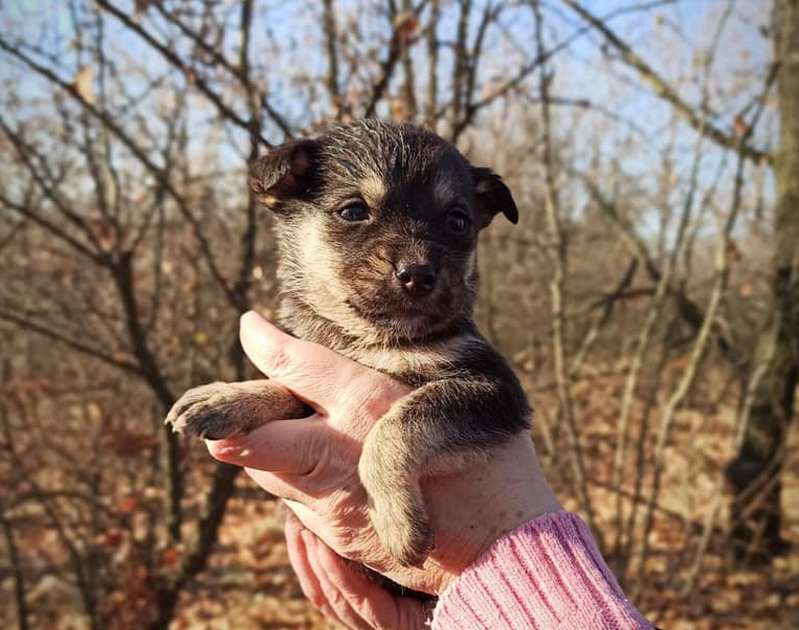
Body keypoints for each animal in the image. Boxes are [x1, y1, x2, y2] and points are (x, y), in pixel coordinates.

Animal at [166, 121, 532, 572]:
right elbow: (282, 387)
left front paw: (396, 521)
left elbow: (396, 425)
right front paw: (228, 398)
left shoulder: (492, 387)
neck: (370, 338)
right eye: (354, 211)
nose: (418, 274)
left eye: (457, 221)